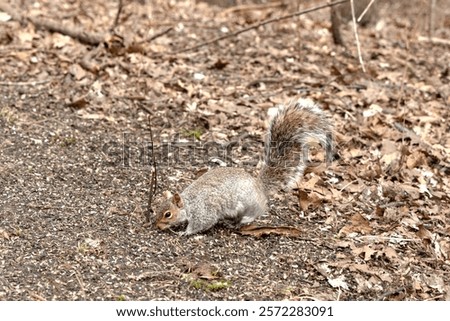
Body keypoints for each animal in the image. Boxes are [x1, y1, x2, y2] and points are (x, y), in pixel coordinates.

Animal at [153, 98, 332, 235]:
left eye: (168, 214)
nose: (157, 226)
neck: (189, 203)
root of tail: (259, 186)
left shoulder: (203, 211)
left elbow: (201, 224)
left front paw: (185, 232)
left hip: (249, 204)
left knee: (257, 212)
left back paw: (241, 221)